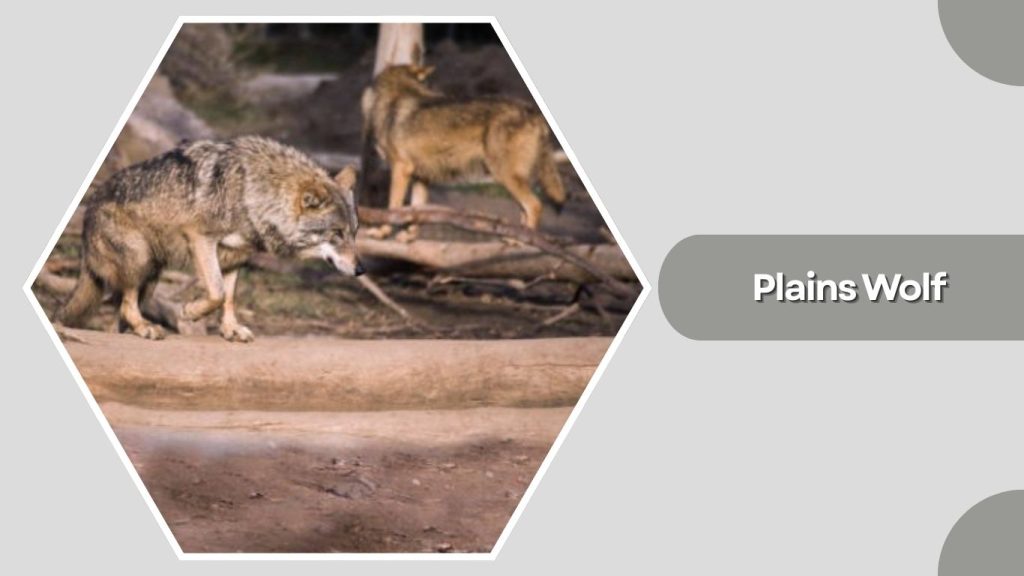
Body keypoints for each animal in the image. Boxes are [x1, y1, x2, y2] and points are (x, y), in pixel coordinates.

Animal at [57, 135, 363, 342]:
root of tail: (88, 211)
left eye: (354, 232)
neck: (251, 191)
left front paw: (230, 330)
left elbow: (229, 297)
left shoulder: (236, 256)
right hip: (139, 261)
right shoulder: (201, 240)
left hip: (152, 275)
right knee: (125, 304)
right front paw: (191, 312)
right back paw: (146, 327)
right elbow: (216, 292)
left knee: (117, 312)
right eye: (337, 234)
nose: (361, 269)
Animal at [361, 64, 566, 229]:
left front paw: (381, 233)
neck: (395, 98)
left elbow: (392, 208)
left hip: (504, 176)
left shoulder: (401, 169)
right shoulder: (421, 176)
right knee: (526, 210)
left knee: (535, 206)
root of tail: (534, 113)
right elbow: (416, 212)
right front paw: (407, 240)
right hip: (513, 179)